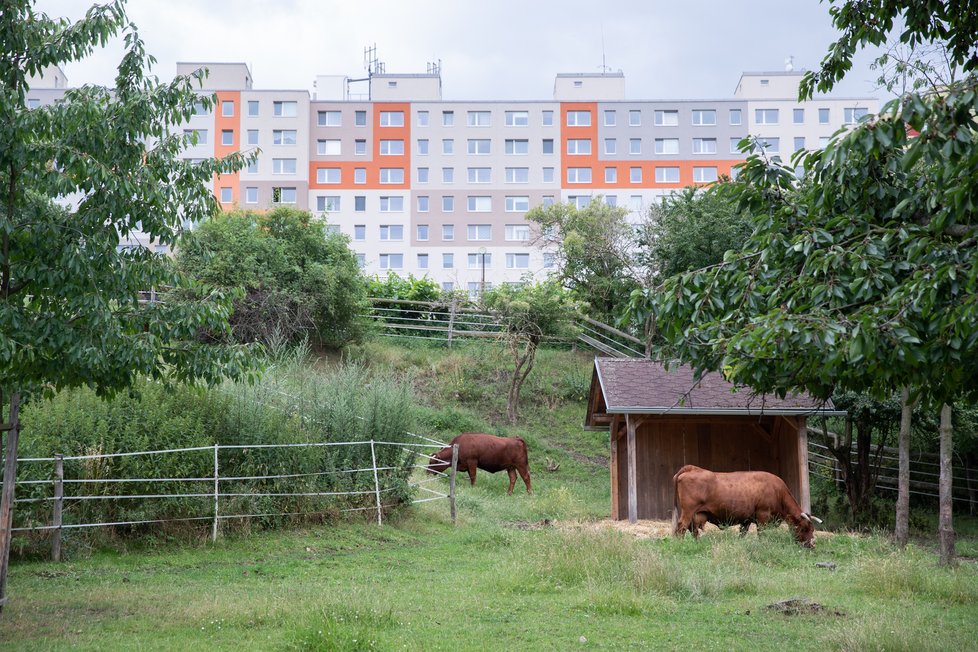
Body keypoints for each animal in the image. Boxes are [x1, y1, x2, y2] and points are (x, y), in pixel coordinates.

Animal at [672, 466, 816, 548]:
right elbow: (761, 533)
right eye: (805, 528)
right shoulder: (762, 516)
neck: (778, 491)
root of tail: (692, 468)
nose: (812, 545)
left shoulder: (746, 520)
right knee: (681, 528)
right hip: (688, 512)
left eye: (812, 529)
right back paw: (679, 545)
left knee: (692, 529)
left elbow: (742, 534)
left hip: (695, 514)